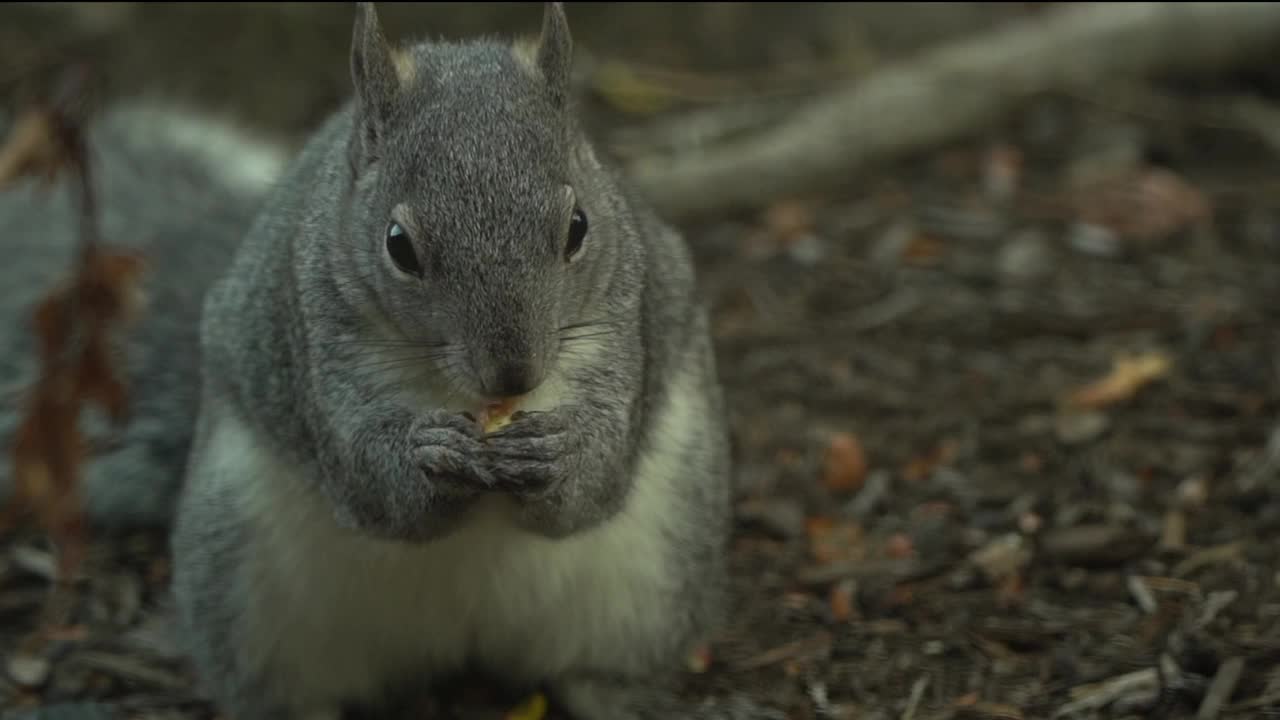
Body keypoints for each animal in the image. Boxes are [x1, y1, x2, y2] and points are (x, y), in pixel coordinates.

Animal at [0, 1, 783, 717]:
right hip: (243, 586)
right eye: (399, 246)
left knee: (607, 675)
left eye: (579, 227)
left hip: (655, 579)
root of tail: (461, 638)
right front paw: (428, 454)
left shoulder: (627, 322)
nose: (515, 373)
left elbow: (593, 486)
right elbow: (374, 484)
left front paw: (561, 452)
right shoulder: (314, 343)